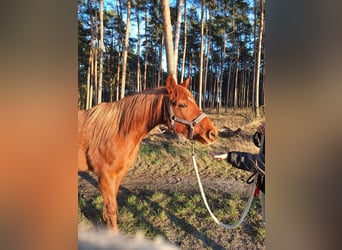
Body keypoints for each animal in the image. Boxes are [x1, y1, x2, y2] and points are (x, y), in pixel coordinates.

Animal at [77, 73, 218, 232]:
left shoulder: (117, 175)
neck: (118, 131)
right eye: (182, 105)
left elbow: (111, 206)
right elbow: (112, 207)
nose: (212, 133)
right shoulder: (105, 177)